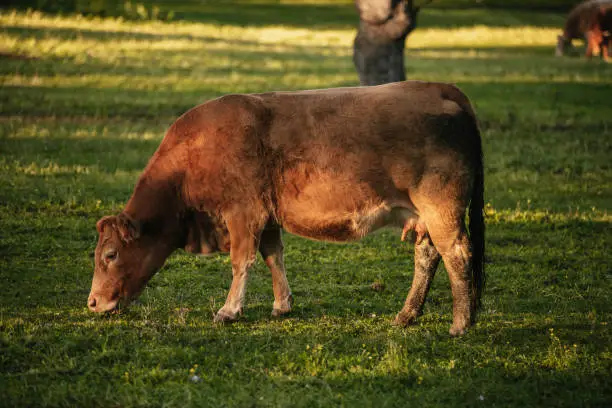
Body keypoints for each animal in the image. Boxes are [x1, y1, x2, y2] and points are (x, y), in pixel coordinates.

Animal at [88, 81, 486, 336]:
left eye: (110, 254)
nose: (91, 302)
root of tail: (437, 87)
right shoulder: (266, 215)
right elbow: (272, 255)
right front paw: (282, 305)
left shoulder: (243, 211)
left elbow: (242, 260)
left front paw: (229, 310)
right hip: (423, 216)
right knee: (428, 256)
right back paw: (407, 315)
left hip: (442, 207)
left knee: (457, 254)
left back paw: (460, 324)